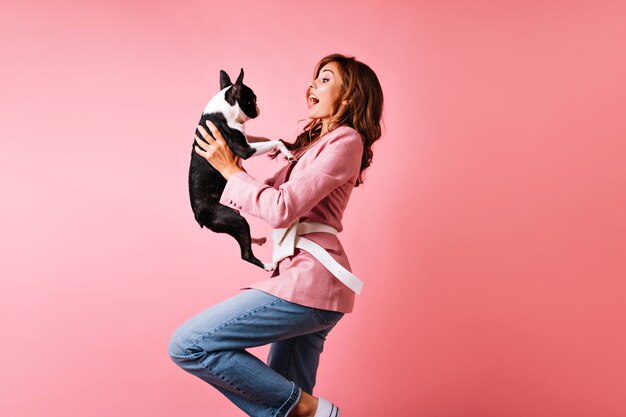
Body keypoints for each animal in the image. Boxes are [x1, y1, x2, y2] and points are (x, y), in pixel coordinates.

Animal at [188, 68, 292, 270]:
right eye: (252, 99)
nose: (259, 107)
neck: (222, 110)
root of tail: (198, 216)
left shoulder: (246, 139)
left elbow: (261, 138)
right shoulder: (244, 149)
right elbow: (276, 141)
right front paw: (286, 151)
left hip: (234, 216)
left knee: (244, 239)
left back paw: (257, 239)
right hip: (234, 219)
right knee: (245, 254)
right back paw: (267, 265)